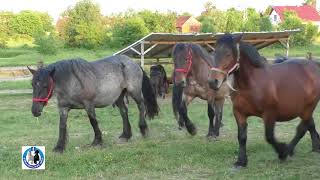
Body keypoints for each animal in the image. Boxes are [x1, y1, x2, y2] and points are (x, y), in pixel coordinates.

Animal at [27, 55, 159, 153]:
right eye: (32, 84)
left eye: (45, 85)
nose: (35, 110)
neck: (72, 81)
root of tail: (133, 62)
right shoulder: (63, 108)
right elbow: (62, 126)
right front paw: (59, 147)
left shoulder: (89, 105)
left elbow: (93, 122)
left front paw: (97, 142)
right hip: (119, 97)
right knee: (124, 112)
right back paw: (125, 136)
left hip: (134, 92)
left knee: (141, 106)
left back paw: (143, 129)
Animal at [208, 33, 320, 167]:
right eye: (214, 53)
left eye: (228, 54)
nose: (212, 82)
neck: (251, 85)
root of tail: (314, 65)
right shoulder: (239, 113)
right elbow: (242, 137)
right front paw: (241, 161)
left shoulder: (269, 114)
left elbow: (269, 137)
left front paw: (282, 151)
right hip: (303, 108)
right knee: (309, 125)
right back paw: (314, 147)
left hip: (308, 108)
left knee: (301, 129)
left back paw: (288, 150)